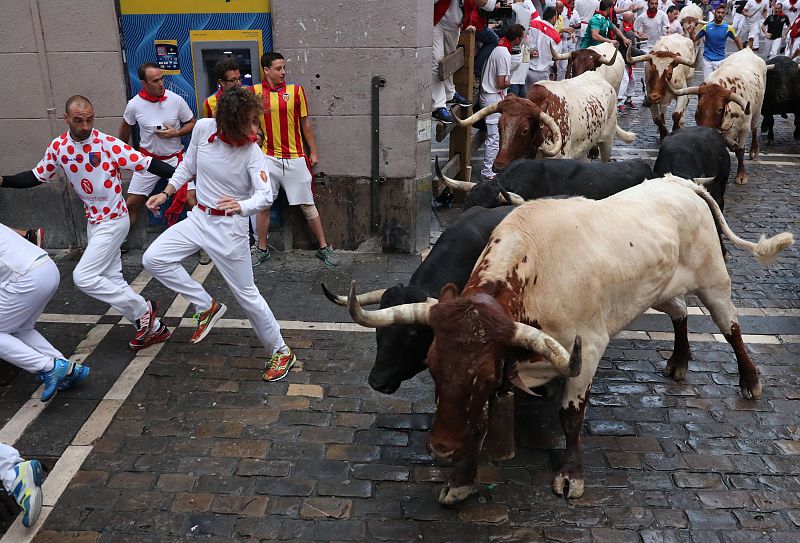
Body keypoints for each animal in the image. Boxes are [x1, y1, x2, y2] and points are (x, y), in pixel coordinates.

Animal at [672, 45, 772, 185]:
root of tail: (747, 50)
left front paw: (741, 175)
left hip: (757, 111)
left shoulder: (744, 128)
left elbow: (740, 151)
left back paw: (754, 150)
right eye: (699, 106)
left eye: (719, 109)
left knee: (755, 128)